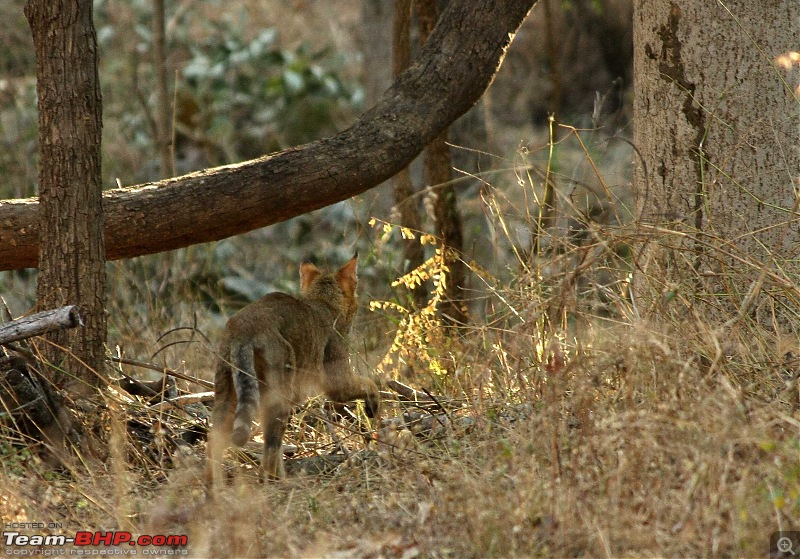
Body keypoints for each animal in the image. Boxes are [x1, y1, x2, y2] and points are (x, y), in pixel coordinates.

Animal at [206, 256, 382, 484]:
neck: (324, 302)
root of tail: (242, 327)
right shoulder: (336, 380)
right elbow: (369, 384)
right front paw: (373, 405)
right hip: (277, 390)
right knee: (271, 443)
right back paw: (276, 479)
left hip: (226, 389)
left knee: (214, 438)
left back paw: (214, 485)